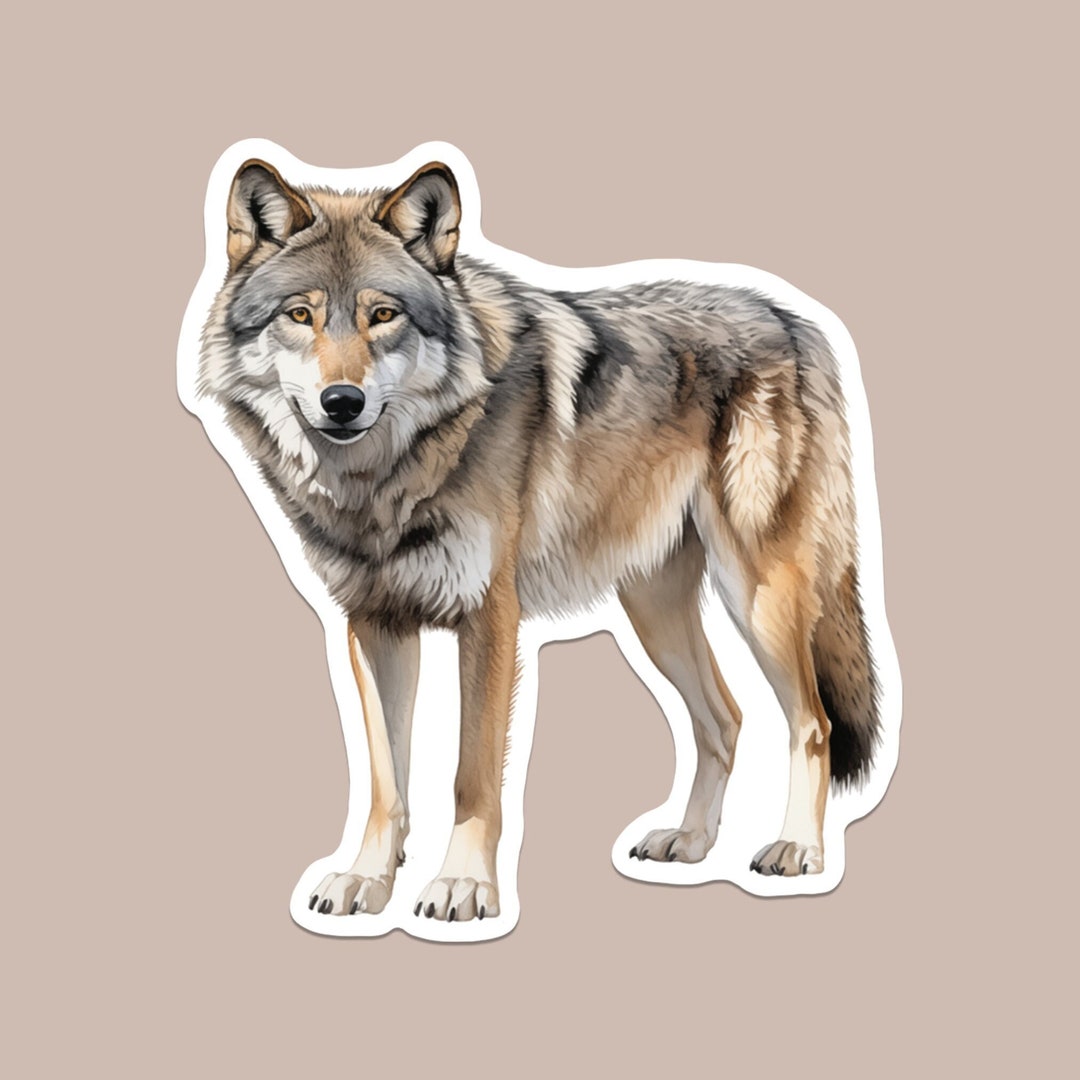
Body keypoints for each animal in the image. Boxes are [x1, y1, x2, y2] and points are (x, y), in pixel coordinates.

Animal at [195, 154, 880, 925]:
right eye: (300, 315)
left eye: (383, 315)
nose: (343, 403)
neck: (386, 482)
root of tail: (793, 319)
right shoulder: (373, 623)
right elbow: (385, 781)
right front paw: (367, 880)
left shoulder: (490, 618)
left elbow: (471, 775)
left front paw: (463, 887)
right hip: (655, 613)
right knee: (726, 718)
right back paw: (689, 842)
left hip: (758, 596)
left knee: (813, 723)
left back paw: (797, 850)